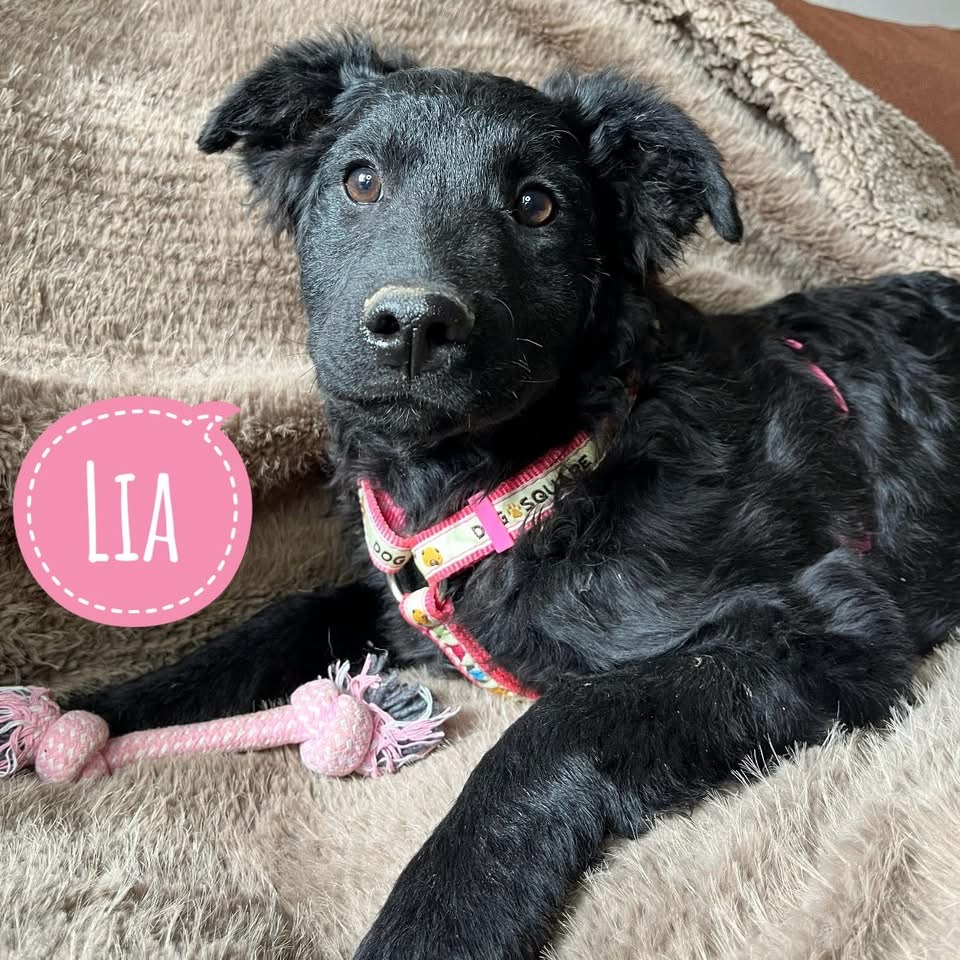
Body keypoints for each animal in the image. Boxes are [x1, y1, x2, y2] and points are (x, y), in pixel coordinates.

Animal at [72, 34, 960, 959]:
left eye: (537, 205)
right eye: (360, 181)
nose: (413, 325)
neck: (536, 480)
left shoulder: (822, 626)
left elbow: (558, 724)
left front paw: (435, 921)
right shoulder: (395, 601)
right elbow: (270, 625)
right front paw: (85, 712)